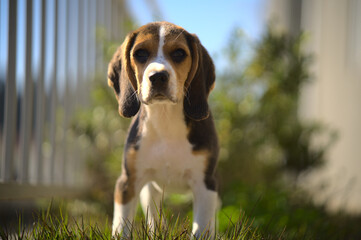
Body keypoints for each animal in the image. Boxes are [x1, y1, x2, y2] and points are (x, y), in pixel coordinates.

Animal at [107, 21, 218, 238]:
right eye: (140, 53)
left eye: (179, 53)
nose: (158, 76)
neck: (165, 119)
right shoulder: (127, 183)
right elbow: (121, 227)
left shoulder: (205, 186)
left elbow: (201, 228)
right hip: (149, 191)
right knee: (154, 215)